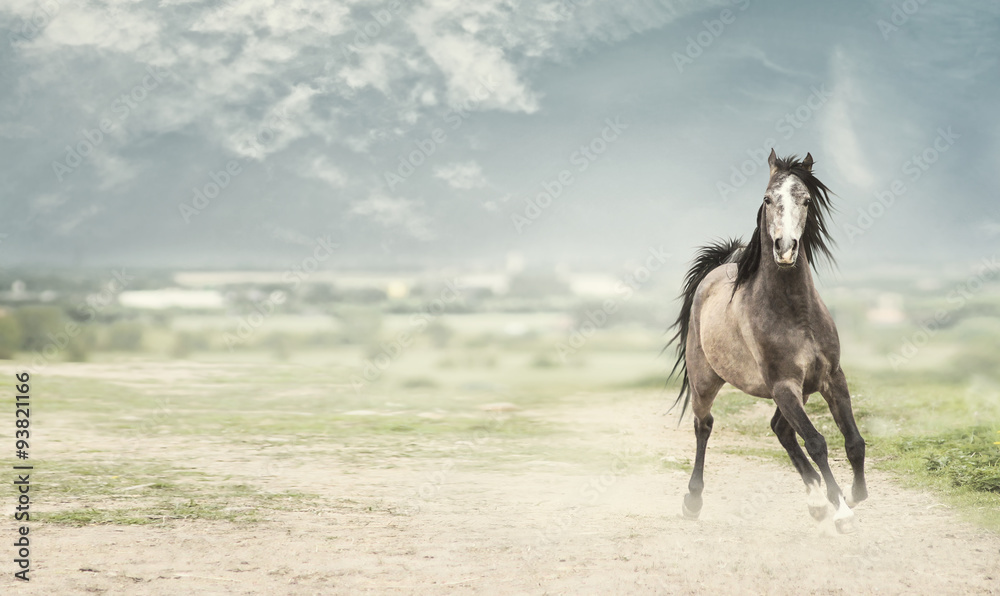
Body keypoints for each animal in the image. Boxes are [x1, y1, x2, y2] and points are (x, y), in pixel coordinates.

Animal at [668, 151, 872, 532]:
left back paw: (815, 502)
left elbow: (853, 441)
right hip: (706, 381)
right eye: (766, 199)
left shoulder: (830, 378)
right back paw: (693, 501)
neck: (795, 314)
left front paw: (852, 496)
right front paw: (842, 511)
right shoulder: (783, 385)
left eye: (805, 200)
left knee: (781, 430)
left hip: (798, 392)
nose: (786, 249)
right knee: (704, 426)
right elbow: (817, 442)